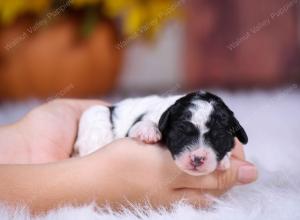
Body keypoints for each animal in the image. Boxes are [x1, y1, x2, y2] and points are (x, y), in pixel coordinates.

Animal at [74, 90, 247, 175]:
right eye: (181, 132)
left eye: (219, 137)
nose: (197, 158)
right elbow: (144, 124)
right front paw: (149, 131)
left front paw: (224, 160)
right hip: (95, 116)